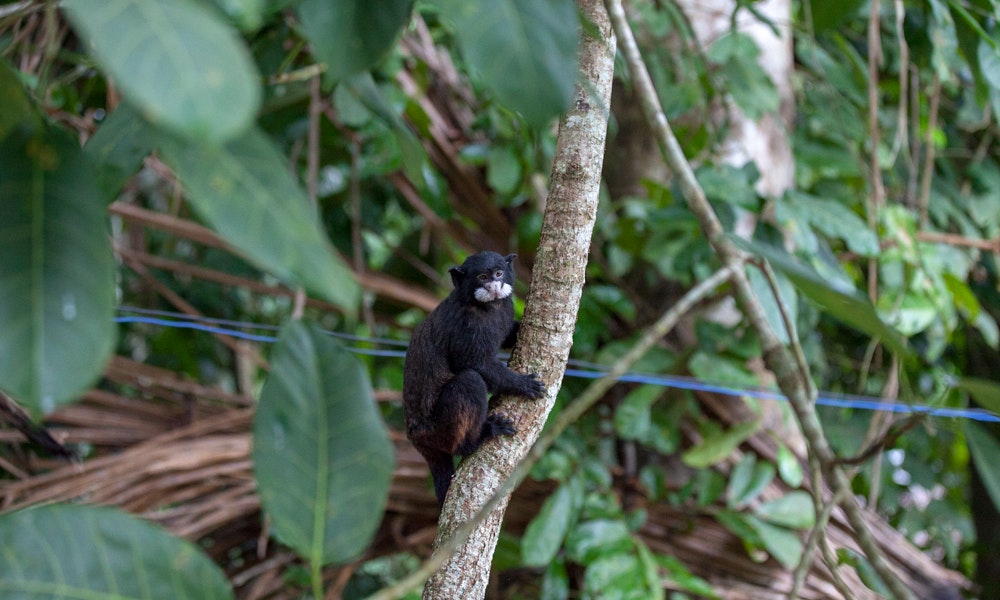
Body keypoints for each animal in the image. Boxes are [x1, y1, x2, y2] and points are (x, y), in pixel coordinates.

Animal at [402, 251, 545, 506]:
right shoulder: (467, 326)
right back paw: (475, 440)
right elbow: (473, 365)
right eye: (482, 277)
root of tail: (417, 439)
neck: (488, 307)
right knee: (469, 381)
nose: (495, 286)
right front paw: (522, 384)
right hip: (436, 430)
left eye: (498, 273)